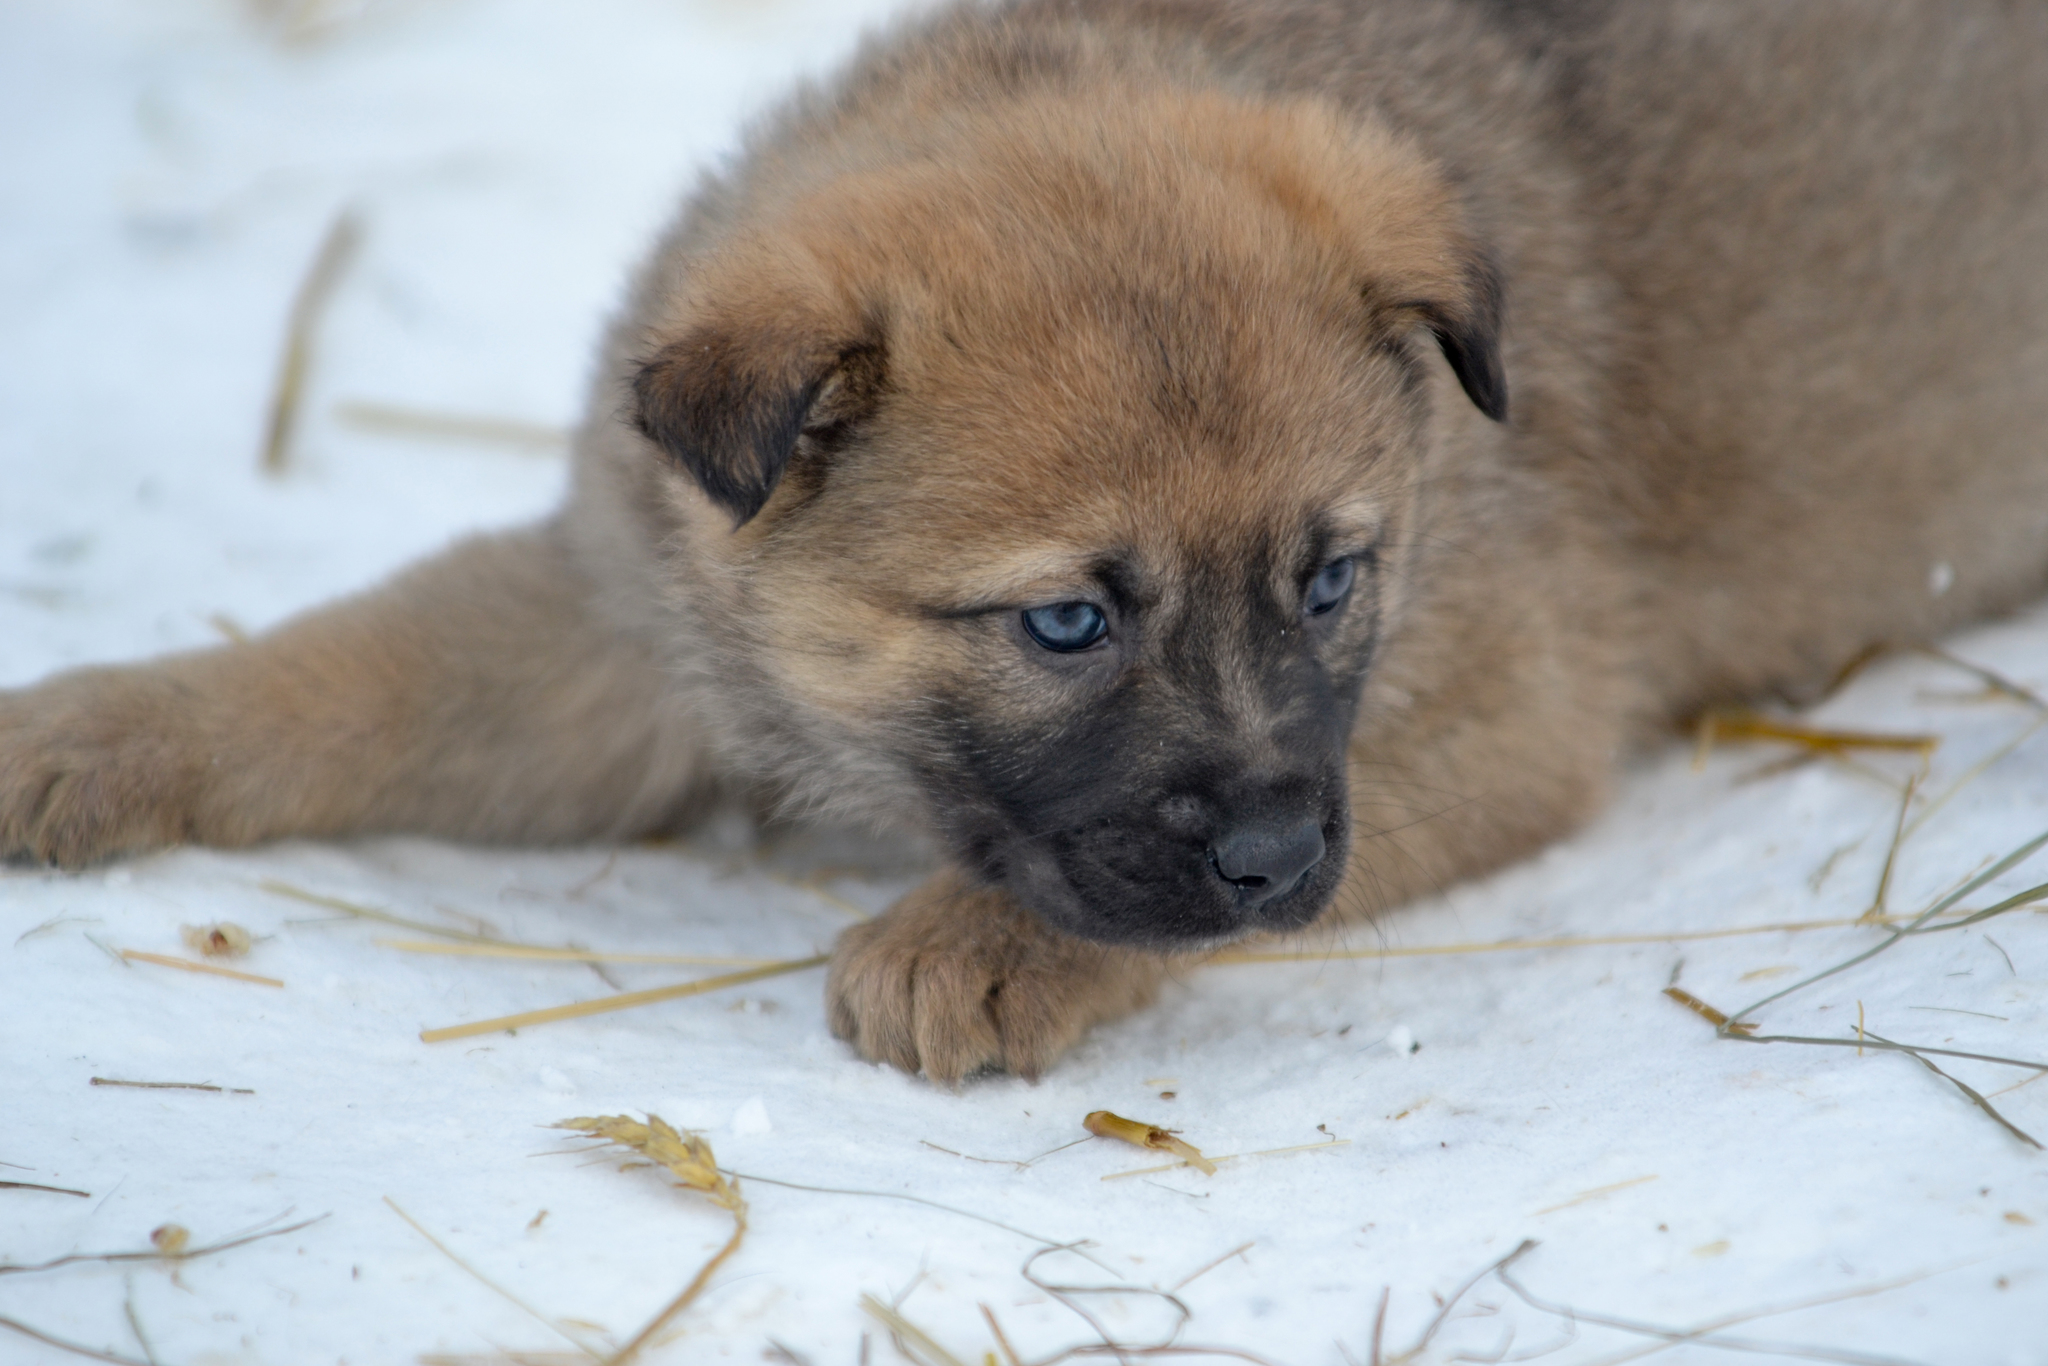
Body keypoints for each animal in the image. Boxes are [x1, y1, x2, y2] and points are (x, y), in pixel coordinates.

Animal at [4, 2, 2048, 1081]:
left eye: (1331, 579)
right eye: (1068, 621)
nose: (1270, 856)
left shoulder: (1508, 699)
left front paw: (972, 942)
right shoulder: (620, 622)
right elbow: (337, 671)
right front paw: (87, 731)